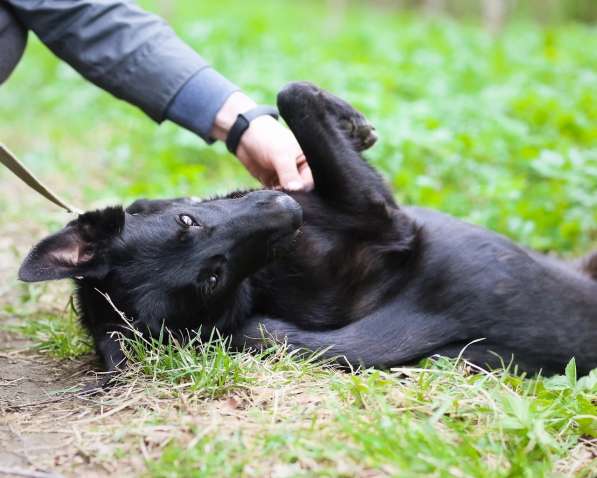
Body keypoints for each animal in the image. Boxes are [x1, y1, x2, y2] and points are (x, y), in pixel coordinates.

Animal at [18, 85, 596, 378]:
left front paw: (349, 122)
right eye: (212, 276)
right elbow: (295, 99)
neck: (266, 279)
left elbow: (290, 97)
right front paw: (350, 121)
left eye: (189, 221)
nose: (282, 208)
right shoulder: (383, 215)